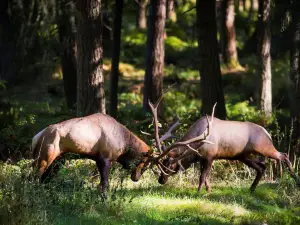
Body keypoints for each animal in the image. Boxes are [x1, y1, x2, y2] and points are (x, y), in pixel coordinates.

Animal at [132, 98, 298, 193]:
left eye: (170, 167)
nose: (161, 180)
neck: (196, 145)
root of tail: (267, 132)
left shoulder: (210, 156)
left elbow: (202, 176)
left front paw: (198, 193)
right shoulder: (202, 158)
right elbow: (205, 177)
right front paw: (208, 190)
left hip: (264, 146)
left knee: (283, 155)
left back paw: (295, 179)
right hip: (243, 156)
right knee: (262, 167)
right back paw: (251, 189)